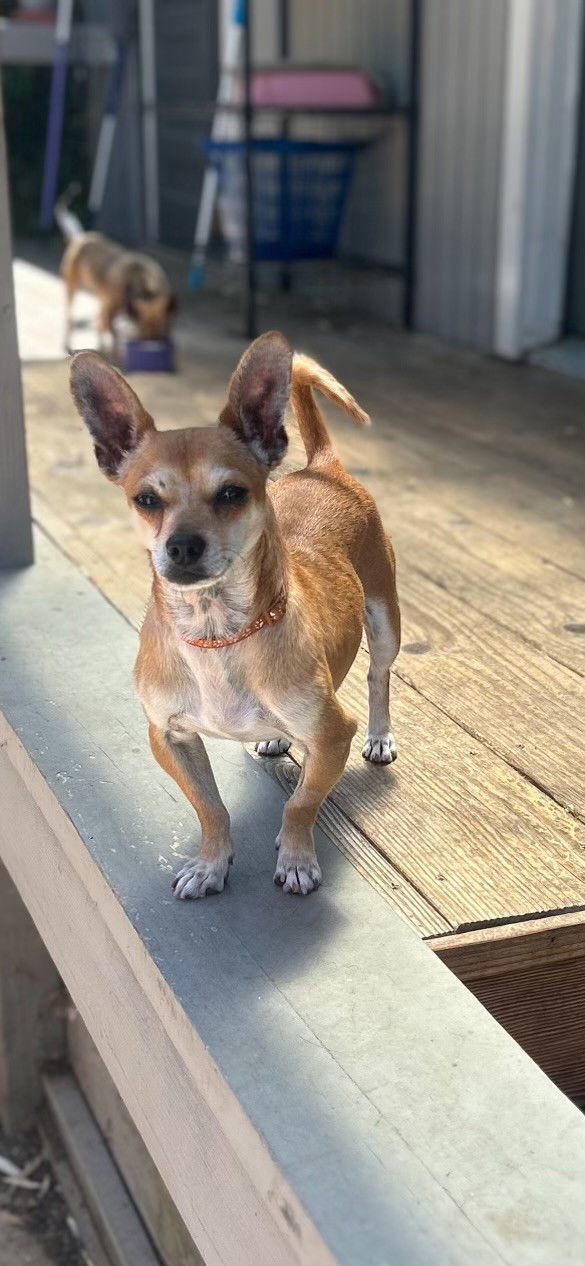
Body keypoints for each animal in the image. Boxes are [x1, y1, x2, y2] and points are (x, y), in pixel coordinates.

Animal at [56, 184, 177, 351]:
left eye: (163, 337)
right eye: (142, 339)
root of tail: (80, 237)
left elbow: (110, 330)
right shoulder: (111, 311)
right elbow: (111, 333)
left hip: (100, 298)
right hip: (72, 286)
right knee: (72, 316)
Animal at [67, 331, 397, 896]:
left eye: (231, 494)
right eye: (146, 500)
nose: (181, 545)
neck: (216, 633)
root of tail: (323, 467)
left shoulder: (332, 736)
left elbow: (300, 804)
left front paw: (297, 858)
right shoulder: (170, 738)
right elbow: (210, 807)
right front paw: (211, 863)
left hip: (384, 621)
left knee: (378, 676)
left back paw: (379, 736)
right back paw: (274, 735)